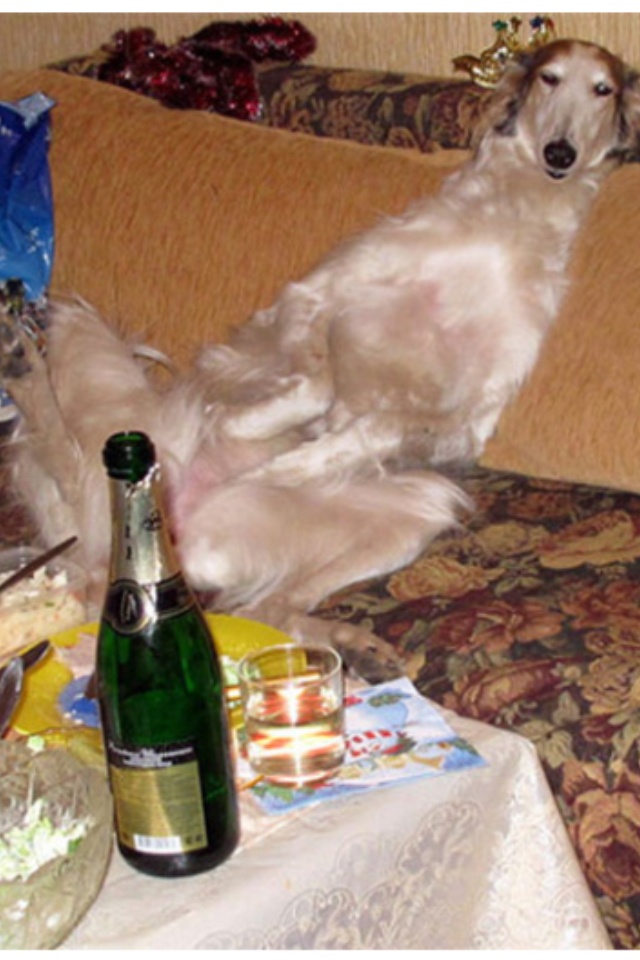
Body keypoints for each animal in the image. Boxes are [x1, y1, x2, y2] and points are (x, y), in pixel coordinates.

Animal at [5, 41, 640, 680]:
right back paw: (21, 359)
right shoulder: (315, 296)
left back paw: (354, 645)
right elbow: (318, 385)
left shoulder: (469, 422)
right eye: (549, 78)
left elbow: (378, 421)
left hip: (421, 509)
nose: (559, 153)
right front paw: (255, 433)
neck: (510, 225)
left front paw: (293, 464)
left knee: (266, 608)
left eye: (603, 89)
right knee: (67, 452)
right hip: (97, 357)